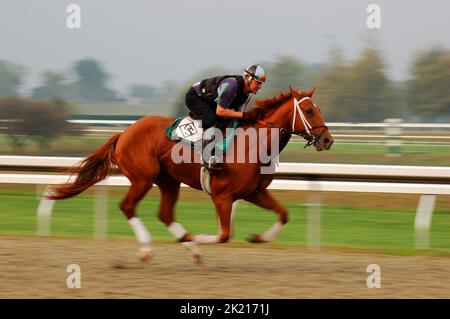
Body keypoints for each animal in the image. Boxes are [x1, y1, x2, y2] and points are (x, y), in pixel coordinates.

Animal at [47, 87, 334, 262]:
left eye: (319, 110)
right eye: (309, 111)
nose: (328, 140)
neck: (254, 143)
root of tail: (124, 132)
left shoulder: (255, 193)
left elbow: (284, 215)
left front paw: (257, 237)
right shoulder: (222, 196)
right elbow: (224, 235)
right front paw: (197, 237)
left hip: (168, 181)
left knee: (165, 214)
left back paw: (190, 248)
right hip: (142, 177)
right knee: (128, 206)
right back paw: (150, 249)